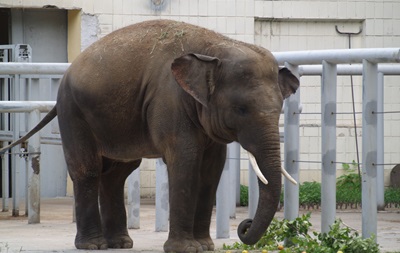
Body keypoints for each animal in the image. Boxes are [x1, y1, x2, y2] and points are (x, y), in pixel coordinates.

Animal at [0, 20, 298, 253]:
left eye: (279, 108)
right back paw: (93, 245)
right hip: (73, 111)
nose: (245, 227)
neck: (214, 47)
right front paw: (186, 249)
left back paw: (120, 244)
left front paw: (205, 246)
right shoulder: (169, 101)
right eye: (241, 109)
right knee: (88, 170)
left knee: (117, 173)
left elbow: (212, 169)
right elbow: (185, 163)